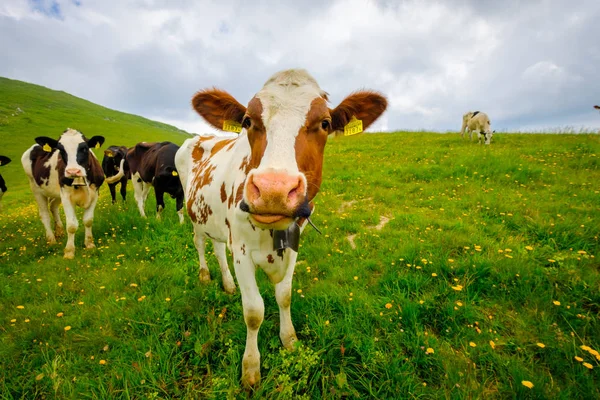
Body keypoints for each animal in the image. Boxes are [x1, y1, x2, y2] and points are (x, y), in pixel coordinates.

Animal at [20, 129, 105, 260]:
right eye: (61, 150)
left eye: (84, 148)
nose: (72, 171)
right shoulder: (66, 196)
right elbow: (71, 225)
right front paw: (69, 252)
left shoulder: (95, 193)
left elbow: (88, 220)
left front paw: (89, 244)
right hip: (35, 188)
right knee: (44, 215)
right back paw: (51, 240)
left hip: (56, 193)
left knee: (53, 206)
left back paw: (59, 232)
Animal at [176, 69, 386, 384]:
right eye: (248, 121)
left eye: (325, 123)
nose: (273, 190)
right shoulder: (241, 251)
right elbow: (254, 311)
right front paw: (251, 368)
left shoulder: (294, 246)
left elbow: (284, 296)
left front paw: (290, 340)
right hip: (195, 213)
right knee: (200, 243)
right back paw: (204, 275)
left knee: (217, 247)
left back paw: (227, 283)